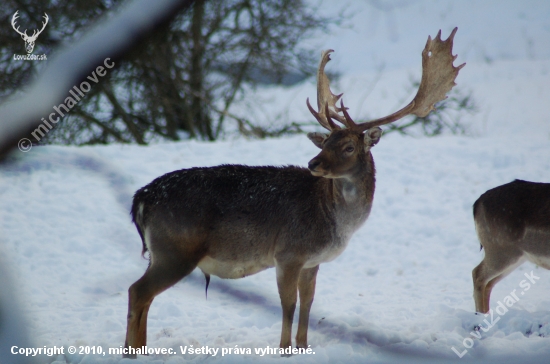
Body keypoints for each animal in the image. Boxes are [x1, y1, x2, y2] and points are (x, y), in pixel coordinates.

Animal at [123, 28, 464, 358]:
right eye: (326, 142)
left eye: (348, 146)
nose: (313, 163)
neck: (335, 222)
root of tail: (141, 199)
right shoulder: (288, 253)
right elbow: (288, 305)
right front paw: (285, 349)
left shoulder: (311, 262)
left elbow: (308, 303)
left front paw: (302, 346)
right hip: (175, 249)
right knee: (137, 291)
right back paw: (132, 352)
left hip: (162, 252)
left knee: (142, 295)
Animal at [474, 180, 550, 312]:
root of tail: (477, 204)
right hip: (500, 249)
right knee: (478, 274)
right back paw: (481, 315)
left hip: (513, 255)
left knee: (489, 282)